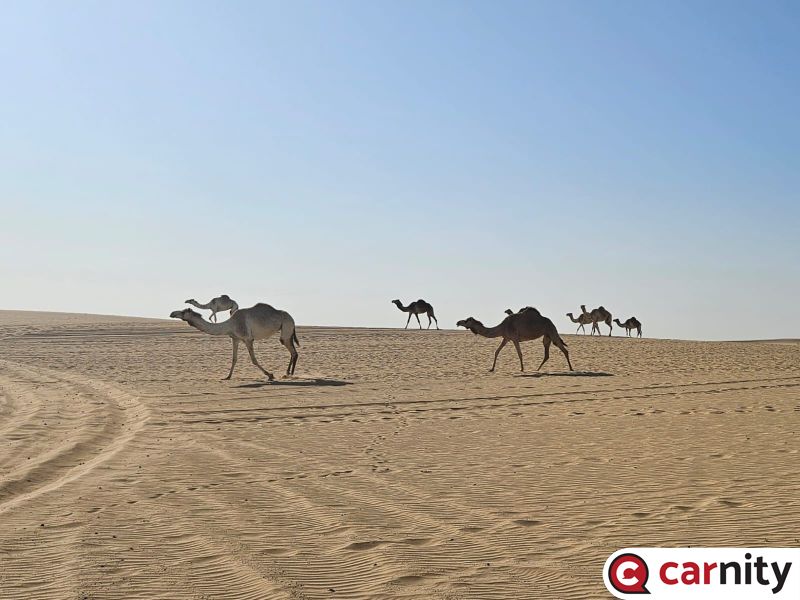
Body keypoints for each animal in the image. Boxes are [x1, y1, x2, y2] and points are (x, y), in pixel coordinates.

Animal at [169, 303, 299, 380]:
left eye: (183, 311)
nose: (172, 313)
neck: (230, 325)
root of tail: (292, 317)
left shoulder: (248, 338)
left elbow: (253, 360)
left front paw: (270, 375)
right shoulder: (235, 339)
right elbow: (234, 358)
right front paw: (227, 376)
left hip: (286, 327)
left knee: (292, 351)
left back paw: (289, 373)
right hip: (288, 330)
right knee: (293, 352)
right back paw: (288, 373)